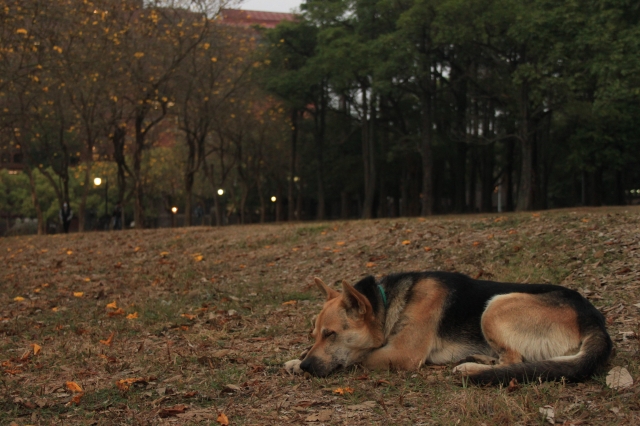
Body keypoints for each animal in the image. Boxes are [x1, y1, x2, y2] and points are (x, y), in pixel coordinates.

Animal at [284, 272, 608, 384]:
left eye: (331, 334)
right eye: (315, 335)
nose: (309, 366)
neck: (386, 305)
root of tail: (595, 318)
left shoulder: (401, 354)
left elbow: (358, 358)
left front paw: (299, 364)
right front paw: (295, 361)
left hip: (495, 306)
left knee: (515, 361)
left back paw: (470, 369)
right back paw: (478, 358)